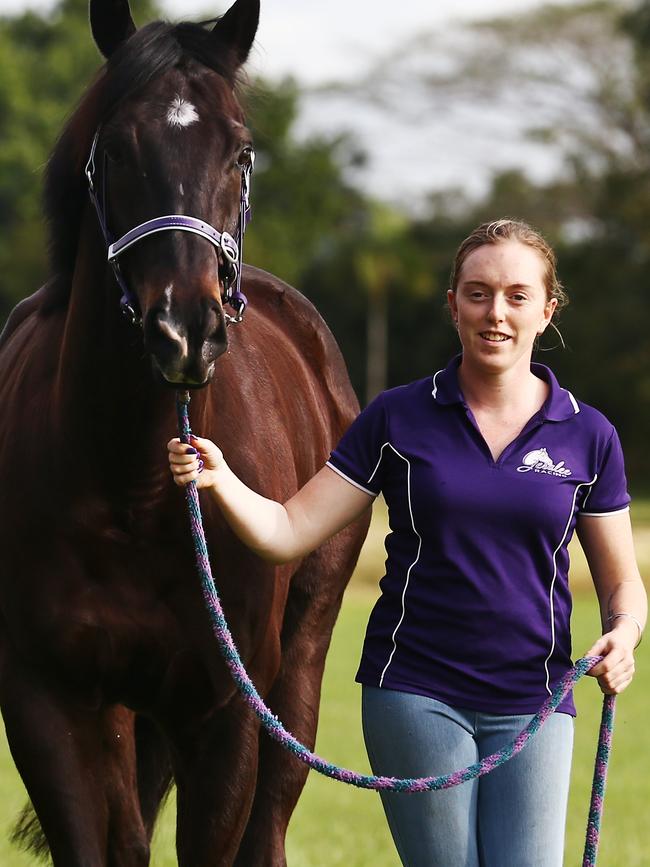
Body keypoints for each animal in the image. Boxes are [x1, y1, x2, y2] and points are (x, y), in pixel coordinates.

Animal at [0, 1, 368, 867]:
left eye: (239, 150)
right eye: (117, 147)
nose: (186, 331)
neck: (132, 486)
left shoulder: (226, 712)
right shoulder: (47, 702)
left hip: (297, 672)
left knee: (268, 826)